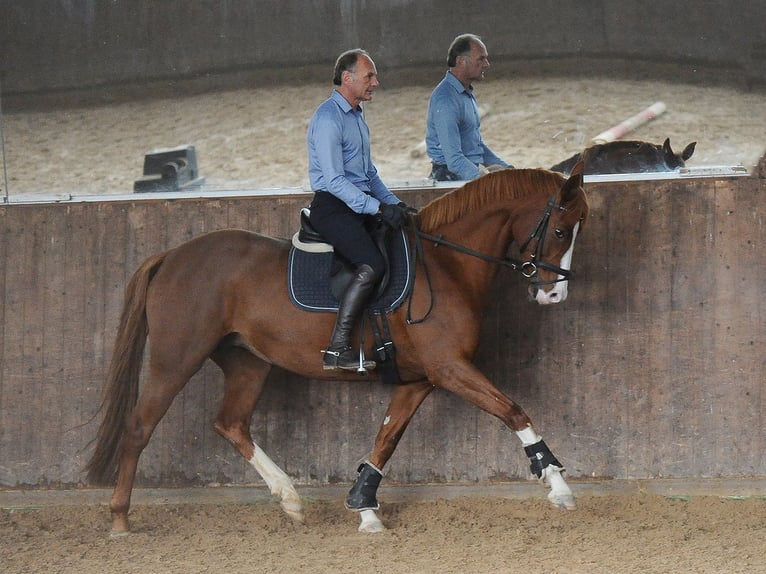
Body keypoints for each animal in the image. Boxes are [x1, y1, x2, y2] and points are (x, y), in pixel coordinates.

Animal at [85, 164, 588, 536]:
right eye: (562, 231)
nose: (554, 295)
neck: (446, 265)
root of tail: (171, 256)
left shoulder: (419, 379)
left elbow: (386, 439)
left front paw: (363, 506)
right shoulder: (449, 368)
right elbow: (514, 412)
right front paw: (557, 484)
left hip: (248, 362)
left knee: (231, 424)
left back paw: (290, 499)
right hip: (176, 359)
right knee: (139, 427)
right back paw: (120, 518)